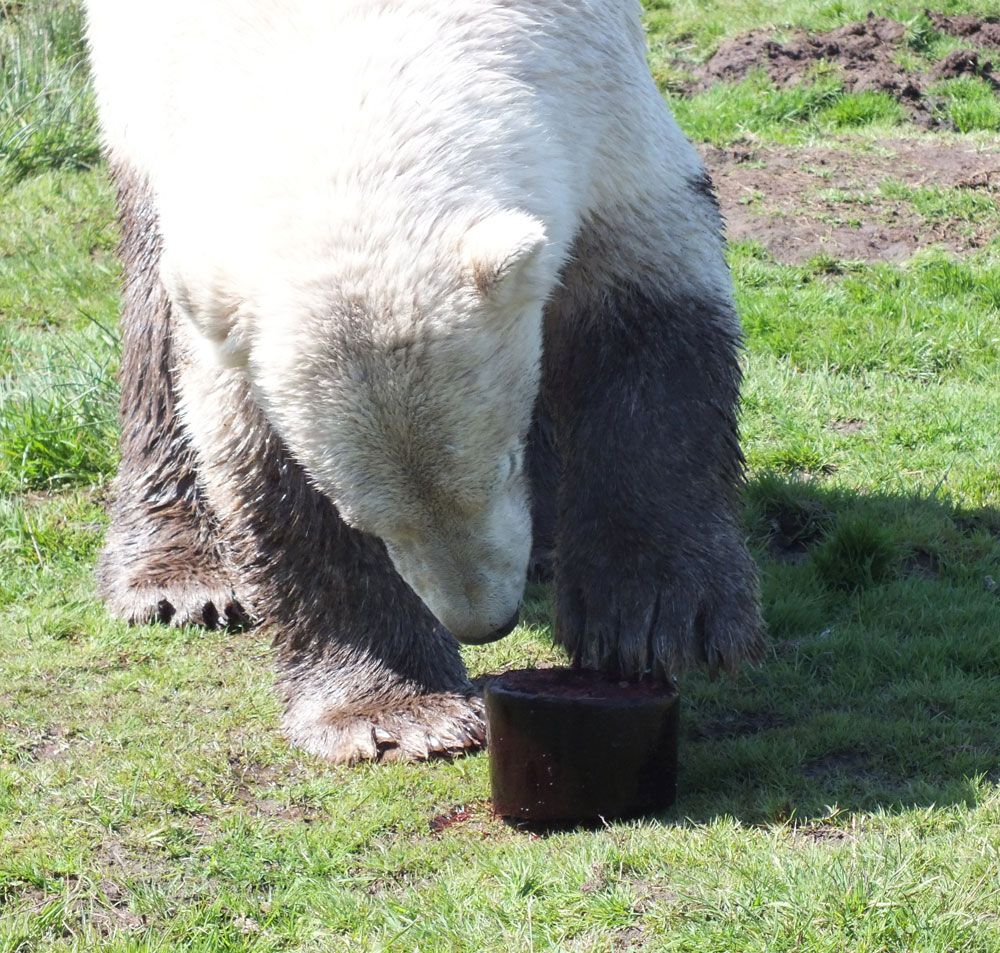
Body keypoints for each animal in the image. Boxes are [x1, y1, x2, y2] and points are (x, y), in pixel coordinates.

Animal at [86, 0, 760, 760]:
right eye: (365, 518)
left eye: (502, 466)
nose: (484, 624)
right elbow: (251, 448)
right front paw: (398, 712)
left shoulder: (593, 95)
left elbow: (648, 314)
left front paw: (657, 620)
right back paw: (177, 578)